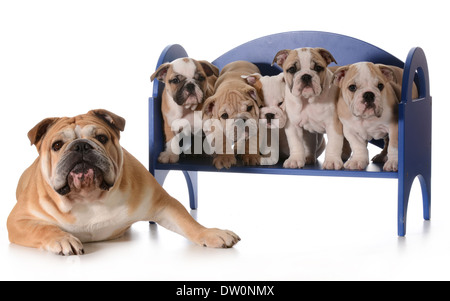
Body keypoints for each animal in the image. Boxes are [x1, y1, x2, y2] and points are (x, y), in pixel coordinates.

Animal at [7, 109, 239, 254]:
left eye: (101, 138)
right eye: (56, 145)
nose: (81, 145)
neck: (88, 197)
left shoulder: (162, 203)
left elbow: (188, 222)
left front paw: (211, 233)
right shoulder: (18, 220)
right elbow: (43, 229)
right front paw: (62, 239)